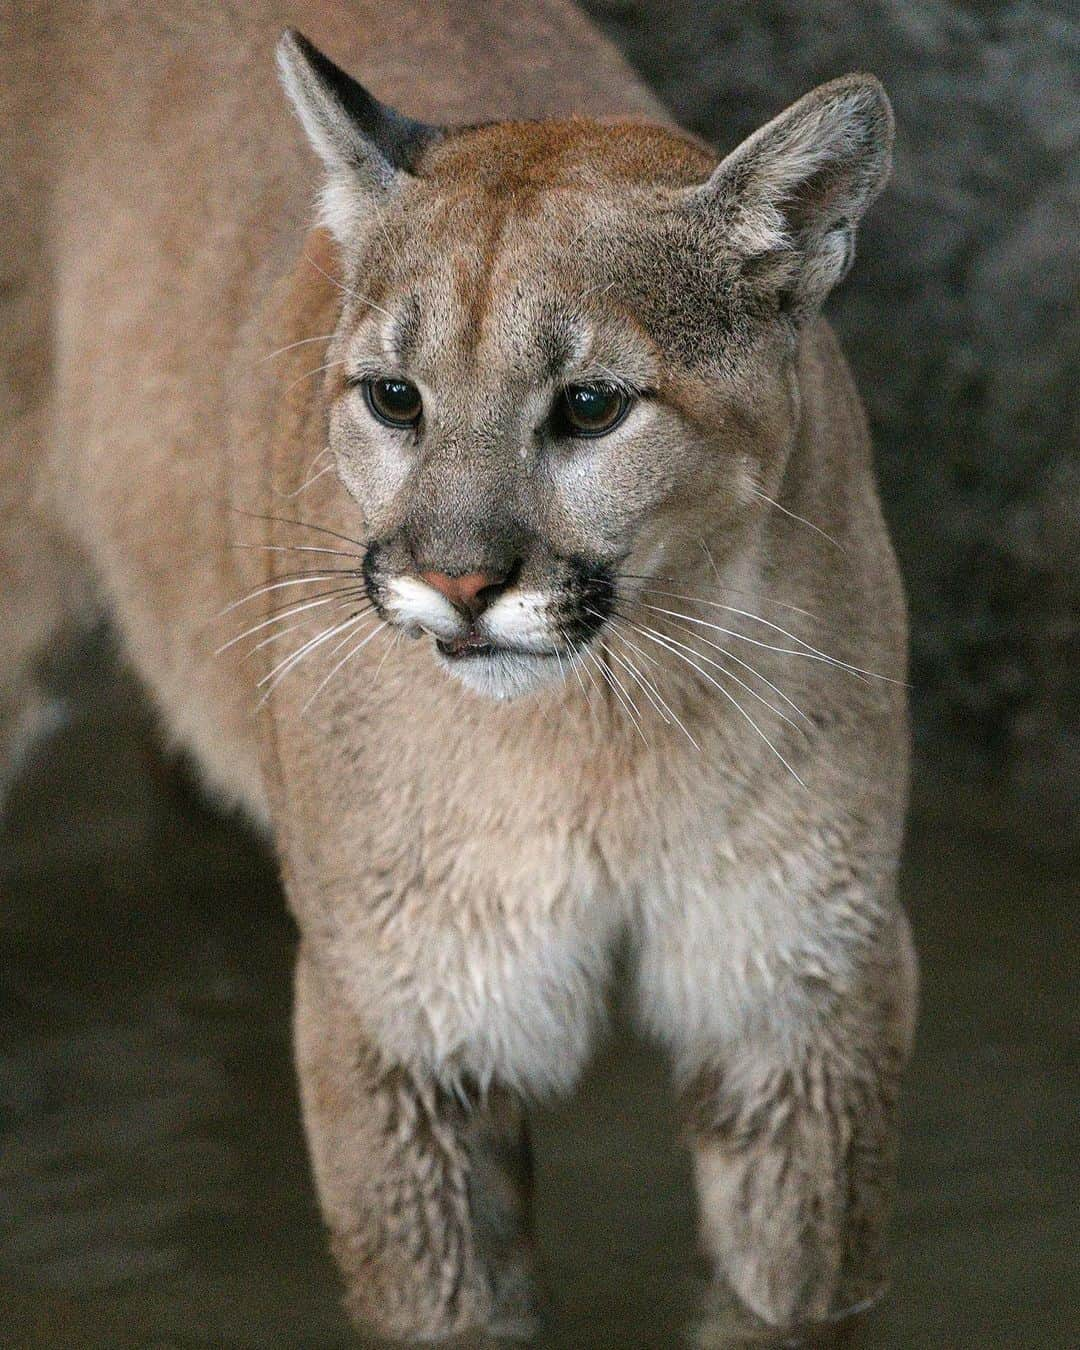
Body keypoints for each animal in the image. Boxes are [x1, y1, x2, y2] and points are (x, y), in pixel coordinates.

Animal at [4, 2, 918, 1339]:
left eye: (589, 406)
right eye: (396, 397)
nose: (460, 581)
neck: (605, 732)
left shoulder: (800, 1000)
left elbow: (786, 1301)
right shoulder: (403, 1019)